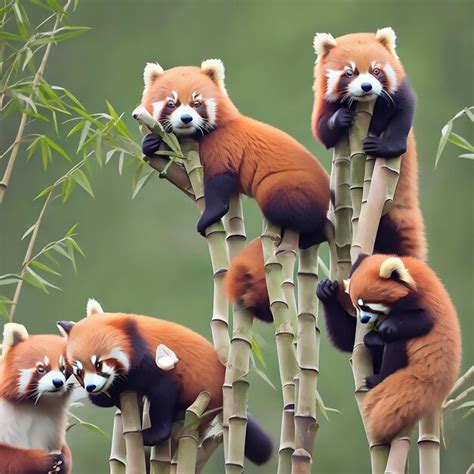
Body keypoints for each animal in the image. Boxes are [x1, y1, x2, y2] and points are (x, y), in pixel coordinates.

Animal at [0, 322, 72, 474]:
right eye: (41, 369)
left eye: (63, 368)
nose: (58, 382)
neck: (31, 403)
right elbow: (9, 458)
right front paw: (42, 461)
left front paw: (63, 460)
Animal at [58, 298, 274, 464]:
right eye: (78, 371)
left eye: (99, 364)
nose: (91, 386)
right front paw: (104, 397)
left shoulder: (158, 364)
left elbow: (162, 393)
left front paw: (155, 434)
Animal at [137, 57, 330, 250]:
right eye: (171, 104)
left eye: (197, 103)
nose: (186, 118)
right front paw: (149, 143)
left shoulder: (222, 147)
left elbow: (219, 188)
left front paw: (207, 218)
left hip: (285, 187)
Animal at [312, 27, 426, 262]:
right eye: (350, 72)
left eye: (376, 71)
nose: (366, 87)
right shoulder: (323, 103)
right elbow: (322, 132)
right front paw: (340, 118)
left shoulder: (399, 93)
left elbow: (404, 112)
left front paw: (386, 146)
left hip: (398, 218)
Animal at [316, 254, 462, 442]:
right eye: (356, 306)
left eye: (366, 306)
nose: (363, 319)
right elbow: (348, 340)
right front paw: (327, 292)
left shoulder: (426, 303)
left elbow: (423, 321)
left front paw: (387, 326)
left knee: (396, 341)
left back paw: (379, 376)